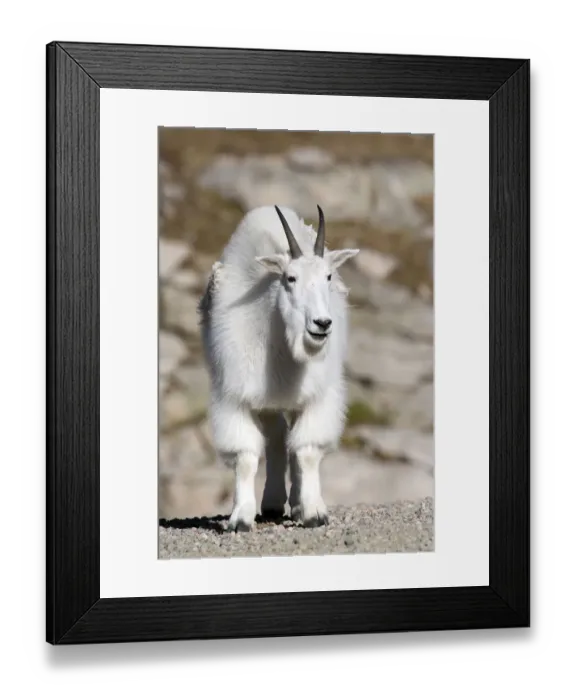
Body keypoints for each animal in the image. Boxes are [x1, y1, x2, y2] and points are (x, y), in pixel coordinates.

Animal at [198, 204, 359, 530]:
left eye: (328, 275)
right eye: (290, 278)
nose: (321, 324)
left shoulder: (317, 396)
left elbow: (307, 451)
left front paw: (312, 512)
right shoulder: (235, 397)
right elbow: (246, 456)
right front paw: (240, 517)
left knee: (290, 442)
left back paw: (296, 503)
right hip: (268, 403)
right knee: (277, 439)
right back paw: (272, 502)